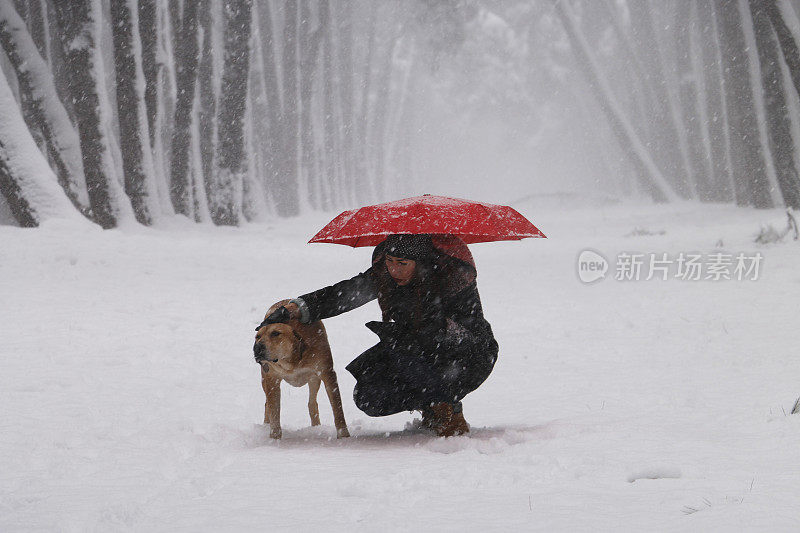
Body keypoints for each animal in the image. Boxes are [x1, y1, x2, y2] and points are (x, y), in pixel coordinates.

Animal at [253, 298, 346, 438]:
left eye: (275, 333)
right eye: (257, 336)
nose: (257, 348)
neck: (291, 360)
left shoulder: (327, 373)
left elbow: (337, 407)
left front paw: (344, 436)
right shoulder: (271, 379)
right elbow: (274, 411)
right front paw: (275, 438)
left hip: (314, 379)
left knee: (312, 403)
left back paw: (316, 427)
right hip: (265, 379)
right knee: (267, 404)